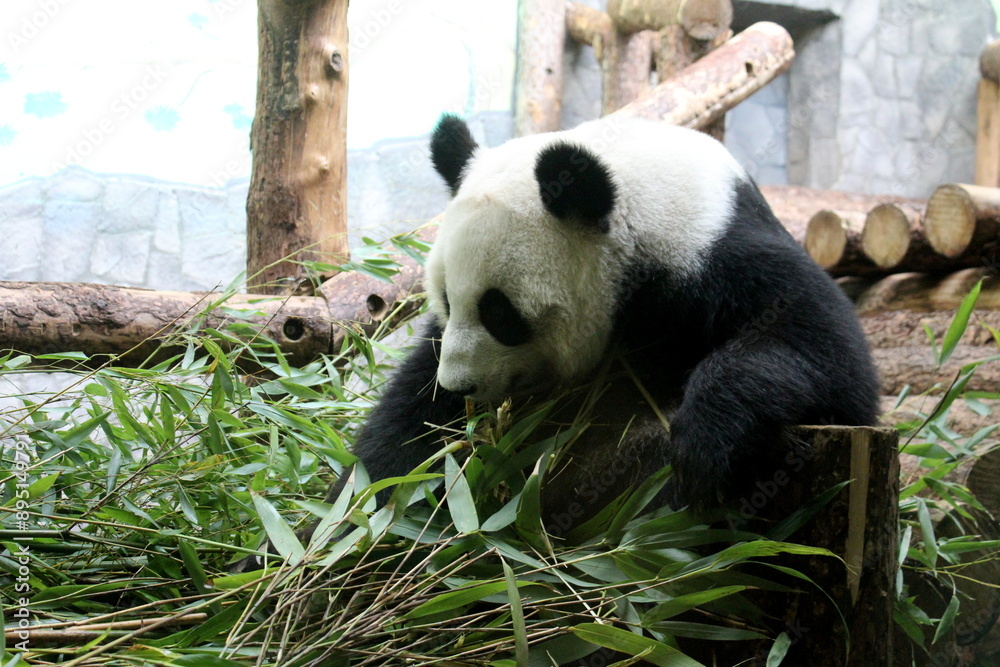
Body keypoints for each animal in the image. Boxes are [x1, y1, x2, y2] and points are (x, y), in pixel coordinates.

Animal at [344, 114, 880, 514]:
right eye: (447, 298)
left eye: (501, 314)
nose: (458, 386)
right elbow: (412, 414)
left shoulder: (717, 252)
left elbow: (825, 351)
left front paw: (706, 446)